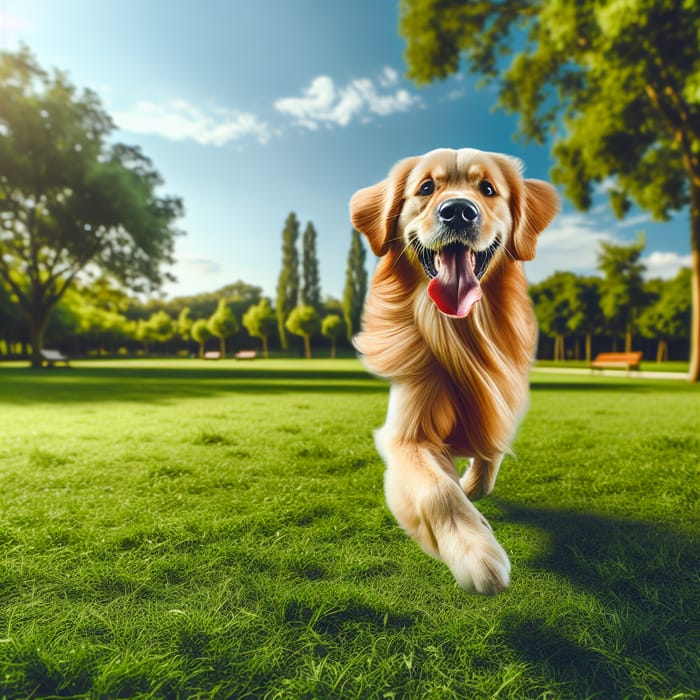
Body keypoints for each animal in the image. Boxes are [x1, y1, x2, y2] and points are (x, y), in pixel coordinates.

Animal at [348, 146, 556, 592]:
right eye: (426, 188)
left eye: (488, 189)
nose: (458, 211)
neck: (460, 334)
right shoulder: (407, 434)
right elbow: (439, 491)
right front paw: (476, 553)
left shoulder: (504, 395)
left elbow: (490, 451)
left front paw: (472, 483)